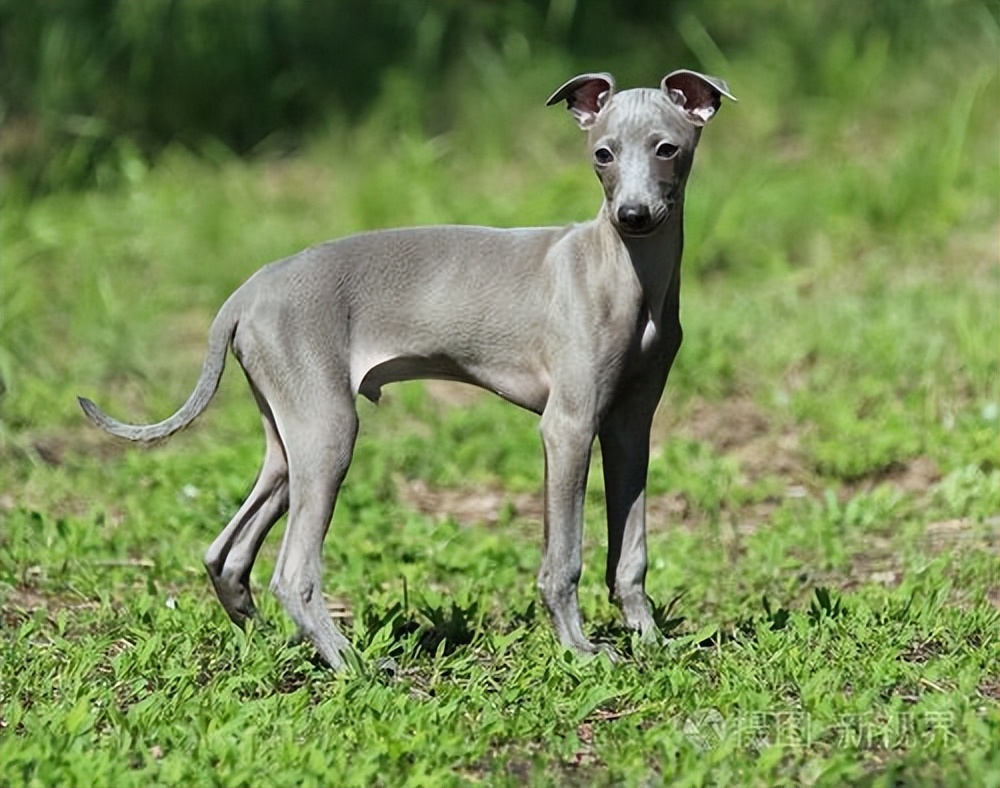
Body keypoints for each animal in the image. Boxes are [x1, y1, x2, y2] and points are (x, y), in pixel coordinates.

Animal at [80, 71, 736, 668]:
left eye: (666, 148)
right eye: (602, 154)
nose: (633, 215)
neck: (623, 270)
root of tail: (244, 294)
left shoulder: (629, 425)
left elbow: (631, 552)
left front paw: (651, 640)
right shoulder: (568, 426)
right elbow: (564, 558)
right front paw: (580, 649)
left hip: (290, 437)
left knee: (227, 553)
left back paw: (275, 642)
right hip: (329, 433)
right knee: (291, 572)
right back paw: (352, 663)